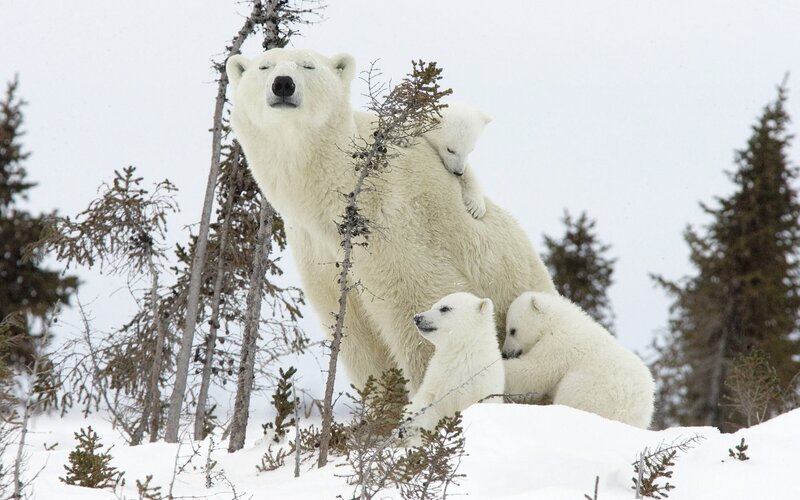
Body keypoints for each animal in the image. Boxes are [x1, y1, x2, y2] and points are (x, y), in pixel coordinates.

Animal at [225, 48, 556, 393]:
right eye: (265, 66)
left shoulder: (395, 225)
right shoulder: (317, 250)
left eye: (308, 65)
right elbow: (358, 338)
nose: (283, 84)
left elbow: (421, 309)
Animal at [405, 292, 505, 432]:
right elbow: (428, 402)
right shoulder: (438, 378)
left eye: (444, 308)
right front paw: (410, 421)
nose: (417, 318)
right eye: (433, 305)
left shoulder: (482, 384)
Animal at [501, 291, 655, 428]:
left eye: (512, 330)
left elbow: (534, 372)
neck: (559, 321)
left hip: (589, 391)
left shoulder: (559, 344)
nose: (505, 353)